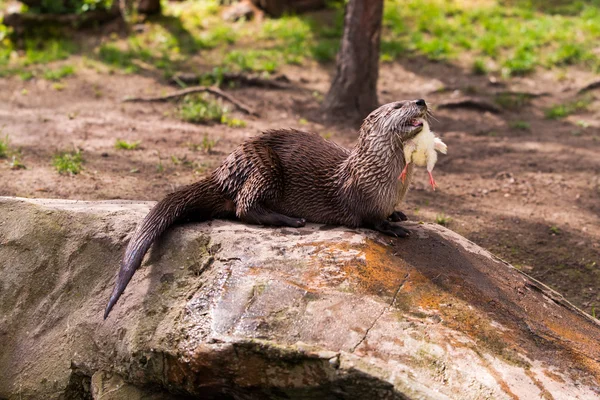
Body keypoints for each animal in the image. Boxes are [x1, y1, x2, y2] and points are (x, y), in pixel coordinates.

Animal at [105, 100, 428, 318]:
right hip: (264, 166)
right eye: (398, 105)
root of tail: (224, 170)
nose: (421, 101)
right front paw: (394, 227)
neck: (384, 177)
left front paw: (398, 214)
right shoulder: (362, 195)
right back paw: (291, 220)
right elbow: (372, 220)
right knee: (243, 207)